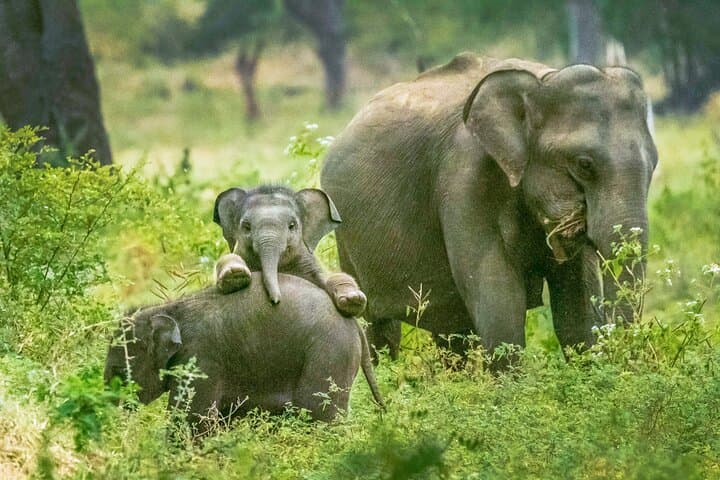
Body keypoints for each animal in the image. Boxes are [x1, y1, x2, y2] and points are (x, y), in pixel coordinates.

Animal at [104, 273, 385, 432]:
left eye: (119, 371)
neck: (170, 307)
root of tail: (355, 324)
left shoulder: (201, 358)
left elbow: (193, 418)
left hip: (329, 354)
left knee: (318, 415)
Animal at [213, 185, 367, 317]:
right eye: (246, 226)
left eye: (292, 226)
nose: (275, 301)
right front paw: (235, 274)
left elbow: (334, 277)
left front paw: (353, 299)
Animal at [320, 53, 658, 360]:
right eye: (584, 165)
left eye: (653, 165)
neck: (542, 81)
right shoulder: (464, 178)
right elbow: (498, 299)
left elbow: (577, 310)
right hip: (347, 238)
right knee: (378, 327)